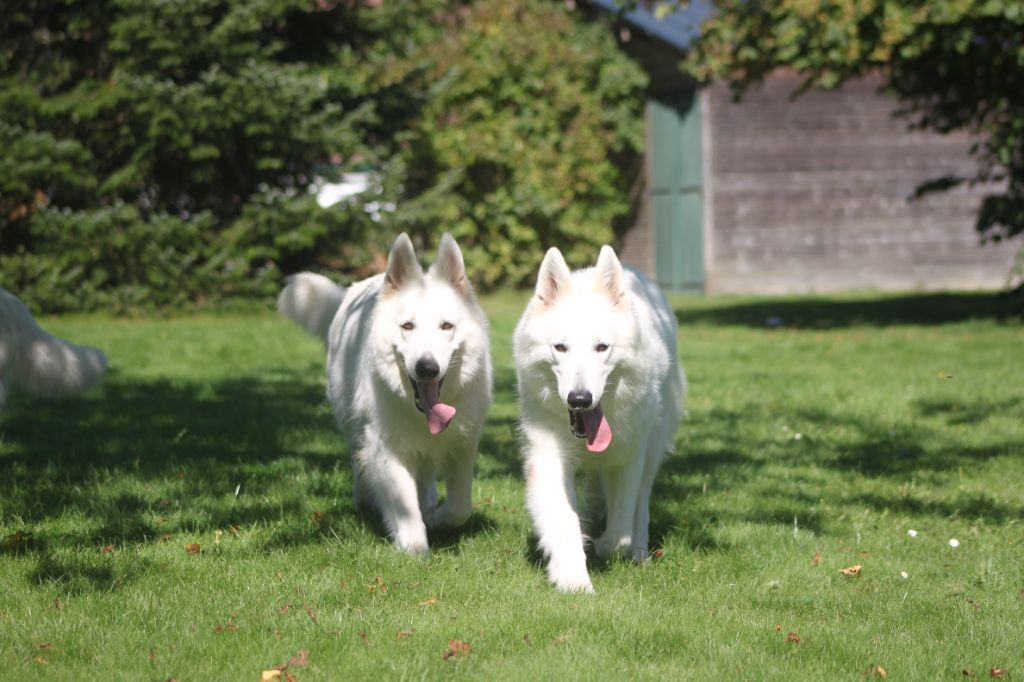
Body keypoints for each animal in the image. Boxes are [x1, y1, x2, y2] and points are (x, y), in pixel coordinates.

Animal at [276, 232, 491, 552]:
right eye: (407, 326)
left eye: (447, 326)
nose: (427, 368)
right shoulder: (385, 447)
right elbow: (405, 508)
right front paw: (414, 549)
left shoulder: (462, 445)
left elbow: (459, 508)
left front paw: (436, 518)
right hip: (353, 426)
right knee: (359, 461)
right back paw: (365, 500)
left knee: (426, 476)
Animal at [512, 244, 688, 589]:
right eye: (560, 347)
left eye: (602, 347)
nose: (580, 399)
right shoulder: (548, 455)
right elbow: (563, 520)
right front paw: (573, 580)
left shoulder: (629, 457)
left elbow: (621, 525)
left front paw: (607, 546)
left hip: (652, 446)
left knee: (641, 506)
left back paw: (638, 551)